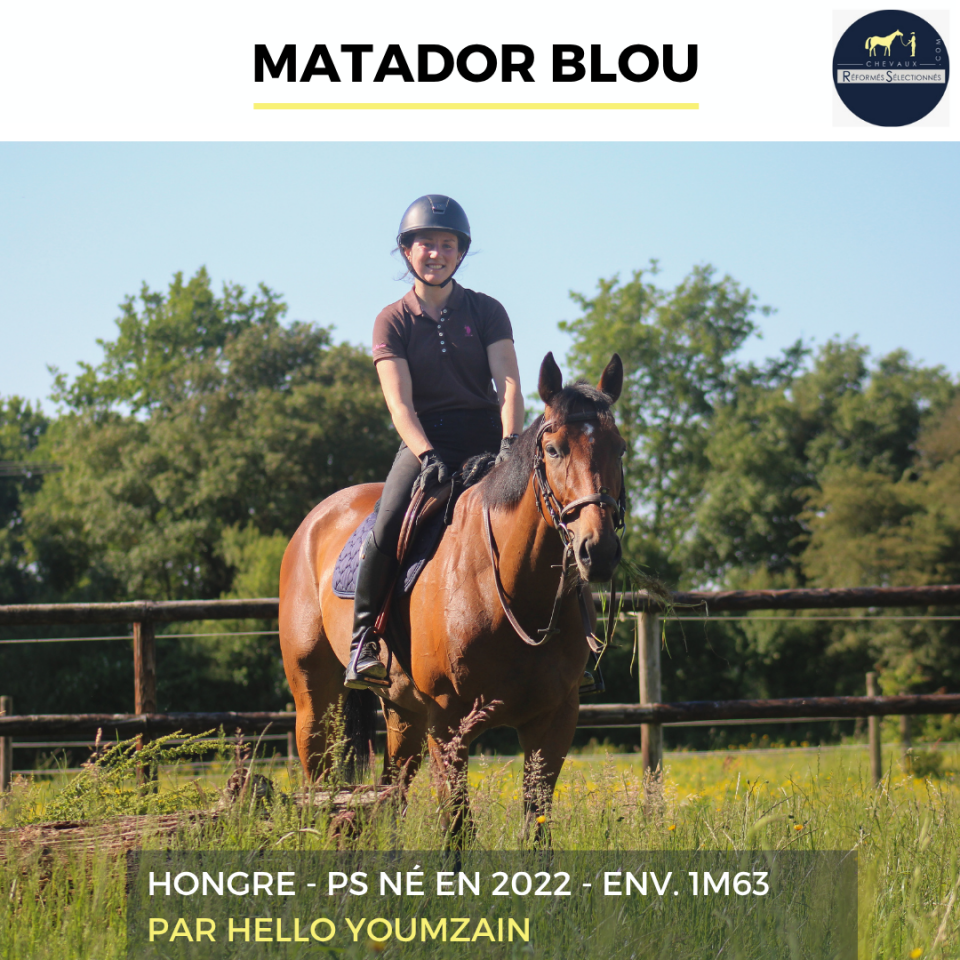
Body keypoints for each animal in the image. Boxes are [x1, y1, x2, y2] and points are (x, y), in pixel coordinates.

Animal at [278, 351, 626, 842]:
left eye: (620, 448)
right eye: (555, 449)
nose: (599, 551)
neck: (517, 597)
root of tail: (315, 519)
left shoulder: (555, 720)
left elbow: (536, 828)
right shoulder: (446, 723)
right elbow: (458, 828)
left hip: (403, 714)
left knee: (391, 794)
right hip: (315, 699)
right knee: (319, 785)